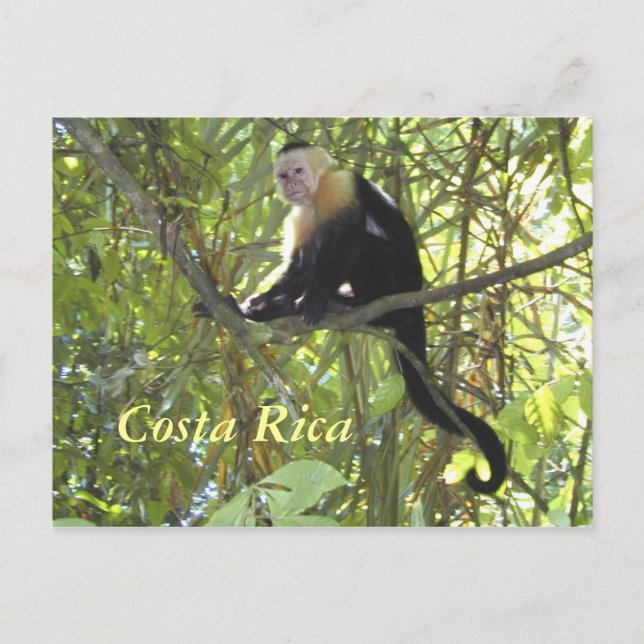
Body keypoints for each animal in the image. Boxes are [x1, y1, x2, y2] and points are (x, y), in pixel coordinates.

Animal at [238, 142, 506, 494]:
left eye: (298, 170)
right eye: (283, 175)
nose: (291, 183)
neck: (315, 195)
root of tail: (414, 304)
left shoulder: (340, 185)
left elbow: (349, 240)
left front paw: (313, 297)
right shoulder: (299, 216)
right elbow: (301, 266)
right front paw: (251, 307)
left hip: (398, 284)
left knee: (363, 245)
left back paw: (352, 302)